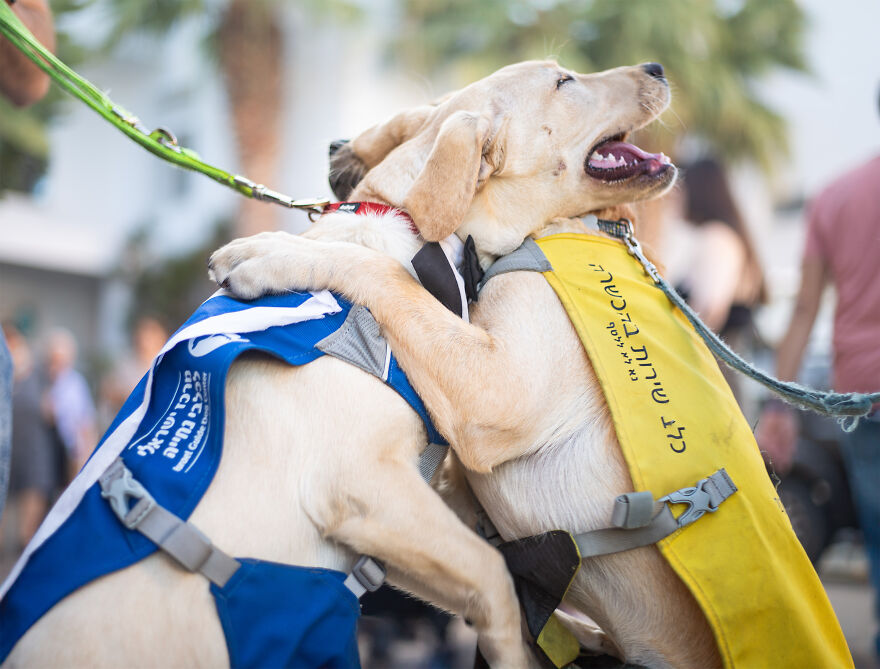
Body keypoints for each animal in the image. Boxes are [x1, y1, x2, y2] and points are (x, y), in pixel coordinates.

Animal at [0, 62, 852, 668]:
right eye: (566, 80)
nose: (657, 62)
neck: (413, 229)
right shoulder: (381, 481)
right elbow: (494, 580)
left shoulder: (456, 440)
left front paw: (270, 251)